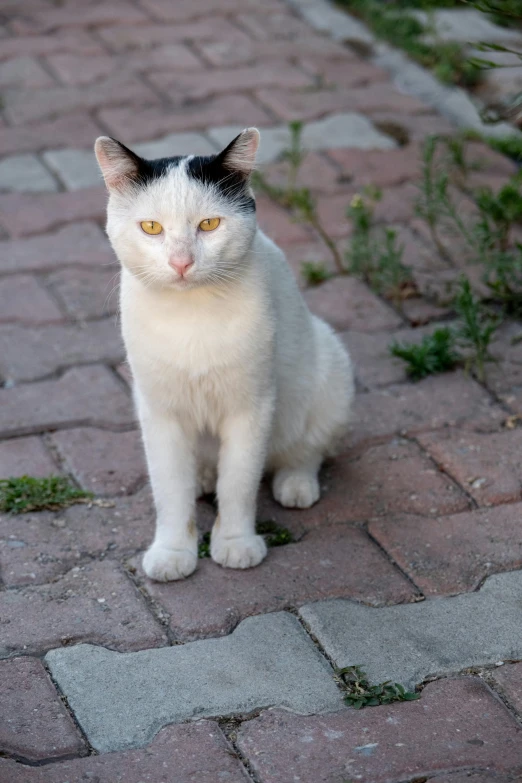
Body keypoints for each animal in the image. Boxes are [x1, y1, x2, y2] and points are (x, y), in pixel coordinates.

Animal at [94, 129, 354, 580]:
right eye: (151, 228)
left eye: (209, 224)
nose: (181, 262)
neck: (191, 315)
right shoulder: (158, 411)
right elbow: (169, 489)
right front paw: (173, 551)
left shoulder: (251, 407)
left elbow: (239, 482)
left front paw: (234, 543)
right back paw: (202, 476)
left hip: (330, 369)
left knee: (308, 448)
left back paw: (296, 483)